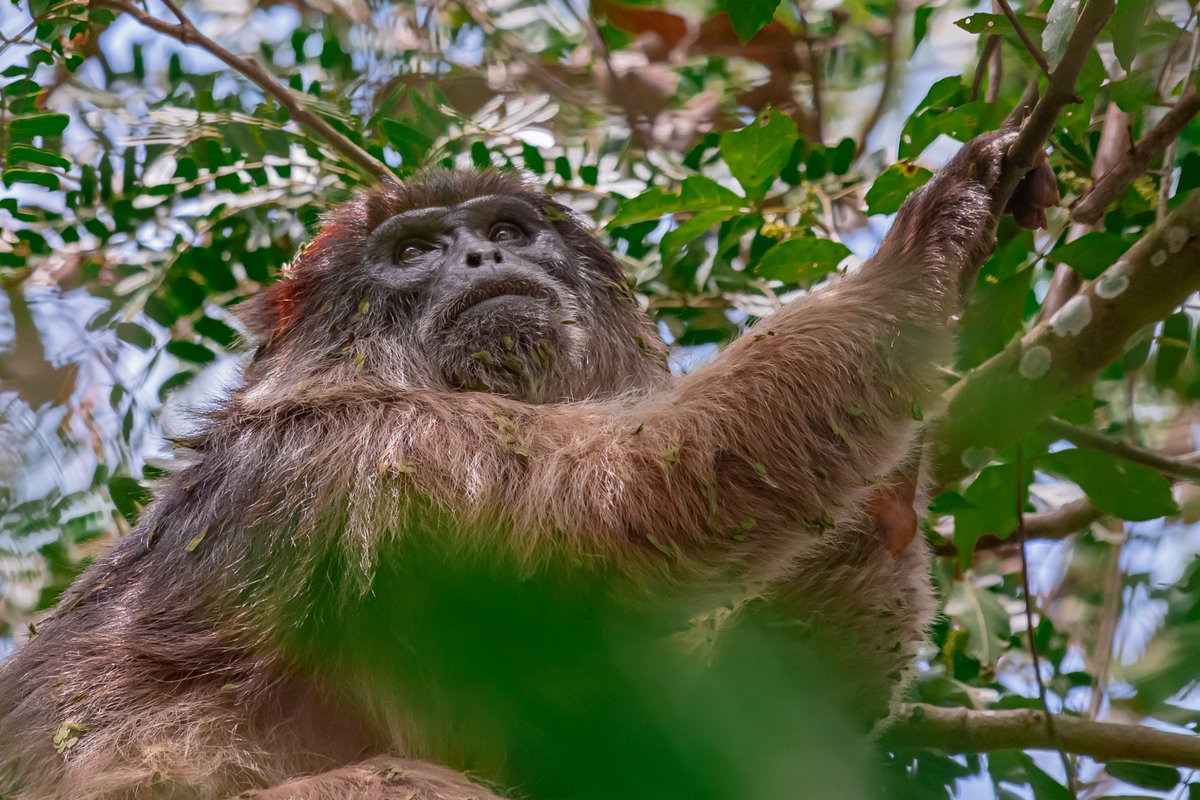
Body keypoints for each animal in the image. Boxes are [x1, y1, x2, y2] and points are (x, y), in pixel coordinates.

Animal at [0, 130, 1056, 800]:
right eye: (415, 253)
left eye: (507, 233)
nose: (477, 258)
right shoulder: (371, 458)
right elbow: (633, 500)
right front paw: (927, 250)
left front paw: (890, 501)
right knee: (402, 785)